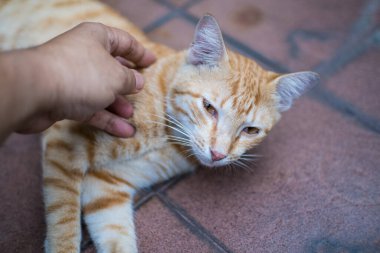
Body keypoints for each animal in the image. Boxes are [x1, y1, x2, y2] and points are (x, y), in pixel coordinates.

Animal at [0, 0, 318, 252]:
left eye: (250, 130)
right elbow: (63, 217)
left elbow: (116, 236)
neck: (166, 137)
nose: (218, 154)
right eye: (209, 108)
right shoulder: (64, 144)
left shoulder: (106, 185)